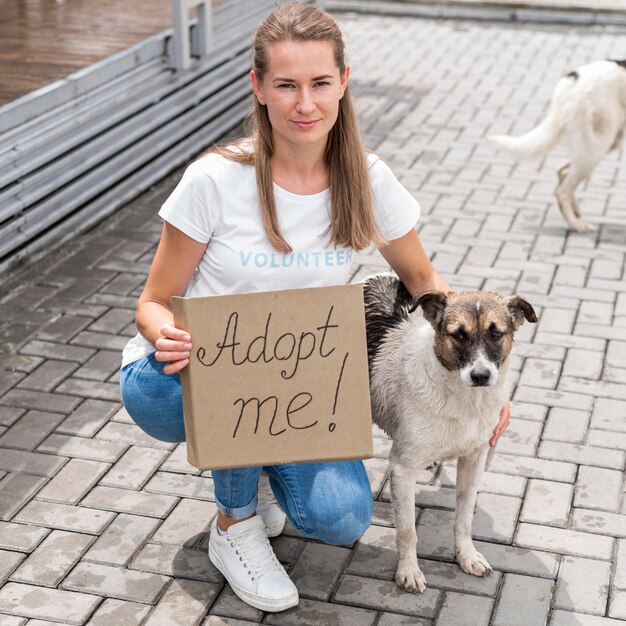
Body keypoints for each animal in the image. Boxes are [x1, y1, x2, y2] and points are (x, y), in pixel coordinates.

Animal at [364, 276, 532, 592]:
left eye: (495, 333)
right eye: (459, 335)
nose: (481, 376)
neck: (461, 399)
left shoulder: (474, 461)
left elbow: (464, 518)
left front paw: (467, 556)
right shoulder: (402, 470)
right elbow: (407, 530)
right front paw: (408, 570)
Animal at [488, 58, 624, 233]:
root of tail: (573, 79)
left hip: (604, 144)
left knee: (561, 170)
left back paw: (575, 211)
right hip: (597, 146)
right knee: (562, 190)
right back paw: (576, 224)